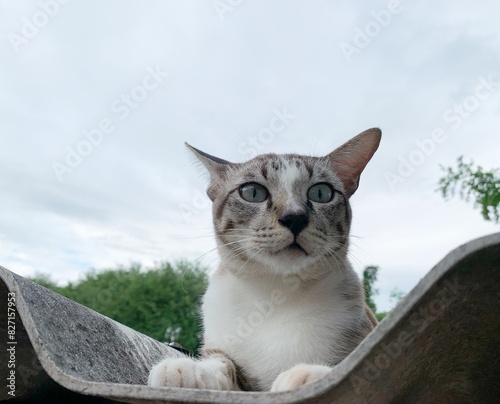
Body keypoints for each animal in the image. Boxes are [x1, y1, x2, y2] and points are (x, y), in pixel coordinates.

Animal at [146, 129, 380, 392]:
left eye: (321, 193)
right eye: (252, 192)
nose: (294, 218)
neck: (274, 294)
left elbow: (349, 364)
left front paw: (306, 375)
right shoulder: (230, 362)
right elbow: (222, 364)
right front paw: (186, 370)